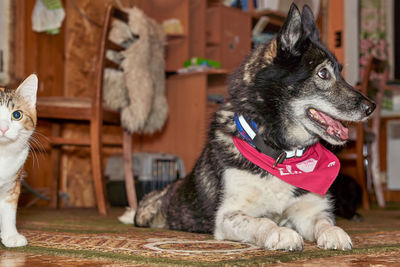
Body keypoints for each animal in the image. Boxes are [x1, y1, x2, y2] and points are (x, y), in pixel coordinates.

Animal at [135, 3, 376, 252]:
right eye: (323, 73)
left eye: (340, 72)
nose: (371, 107)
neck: (280, 153)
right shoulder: (228, 216)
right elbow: (263, 221)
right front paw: (281, 232)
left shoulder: (309, 212)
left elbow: (324, 221)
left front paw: (334, 232)